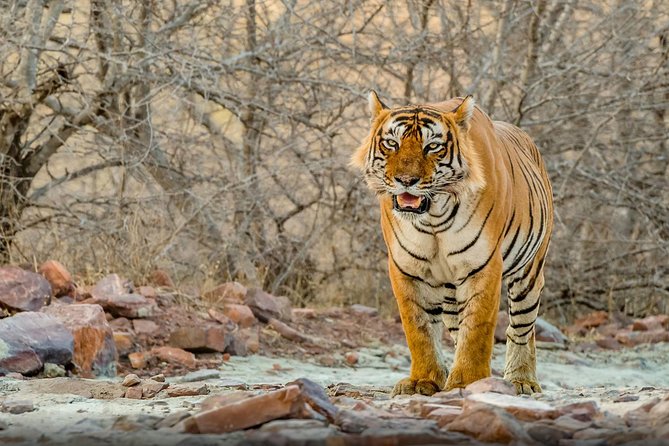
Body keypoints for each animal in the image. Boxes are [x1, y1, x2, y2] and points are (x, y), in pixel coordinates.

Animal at [351, 91, 553, 396]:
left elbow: (478, 329)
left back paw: (522, 380)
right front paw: (423, 380)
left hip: (528, 273)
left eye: (432, 147)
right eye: (392, 143)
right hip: (449, 292)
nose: (406, 181)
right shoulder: (406, 268)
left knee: (521, 328)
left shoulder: (483, 265)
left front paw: (468, 381)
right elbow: (419, 329)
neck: (433, 217)